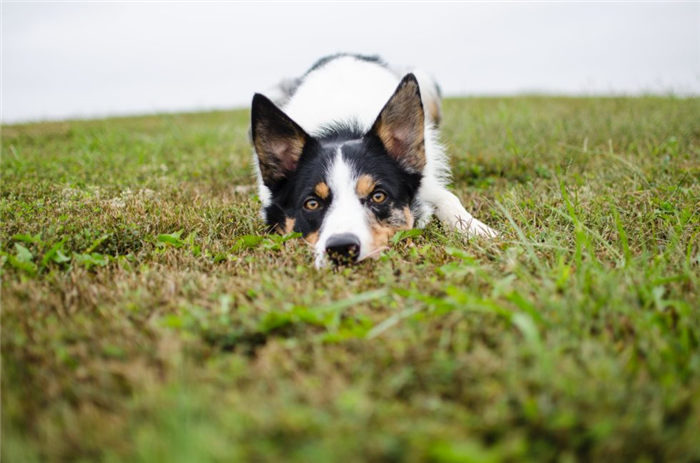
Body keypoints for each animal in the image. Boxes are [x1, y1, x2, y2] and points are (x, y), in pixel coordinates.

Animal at [252, 53, 498, 268]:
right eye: (311, 203)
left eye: (378, 196)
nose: (341, 248)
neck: (343, 130)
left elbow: (448, 198)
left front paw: (477, 230)